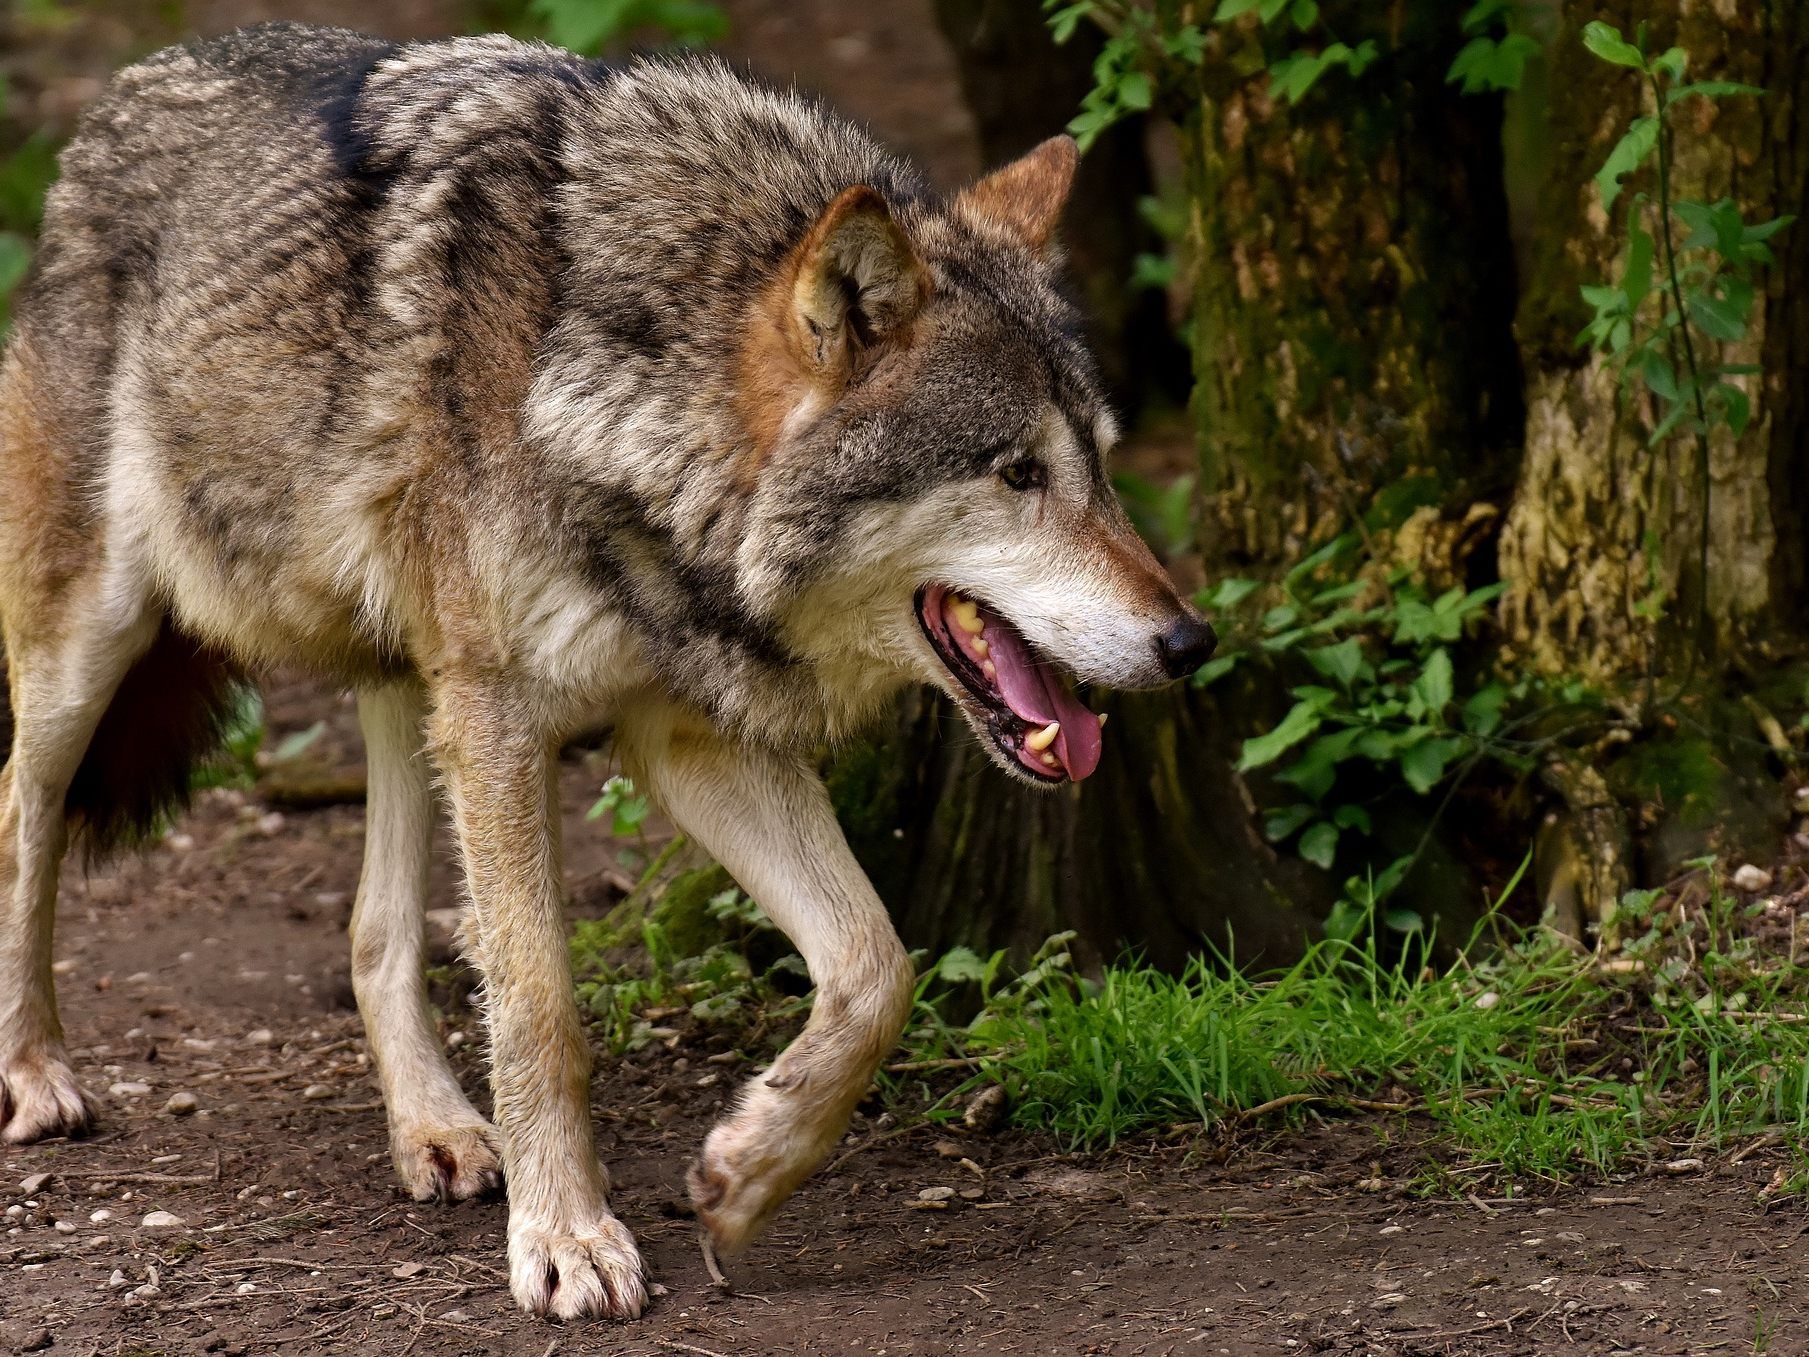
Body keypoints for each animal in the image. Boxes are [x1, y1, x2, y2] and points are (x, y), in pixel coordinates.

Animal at [0, 26, 1222, 1324]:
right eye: (1017, 474)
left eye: (1102, 464)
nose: (1189, 642)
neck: (621, 398)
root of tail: (125, 90)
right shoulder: (505, 720)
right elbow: (543, 1007)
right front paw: (568, 1237)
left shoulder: (690, 737)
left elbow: (875, 966)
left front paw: (749, 1170)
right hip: (100, 641)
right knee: (23, 813)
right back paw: (34, 1070)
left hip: (409, 681)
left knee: (375, 930)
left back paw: (436, 1129)